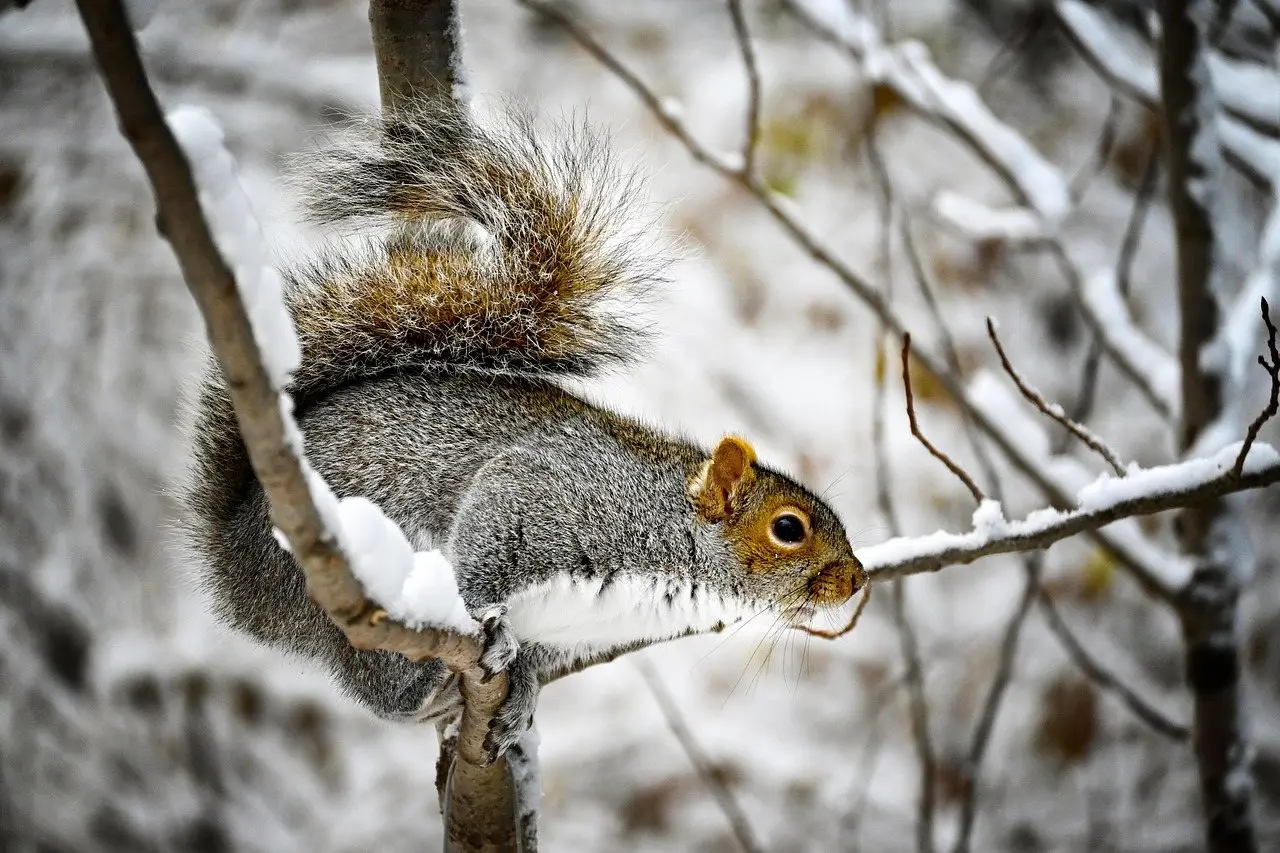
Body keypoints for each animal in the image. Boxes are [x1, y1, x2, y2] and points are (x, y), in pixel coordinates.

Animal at [182, 106, 865, 763]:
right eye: (788, 529)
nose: (858, 579)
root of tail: (235, 573)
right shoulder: (544, 497)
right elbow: (488, 543)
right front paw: (487, 621)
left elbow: (537, 662)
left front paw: (522, 699)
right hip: (335, 597)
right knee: (375, 687)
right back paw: (421, 686)